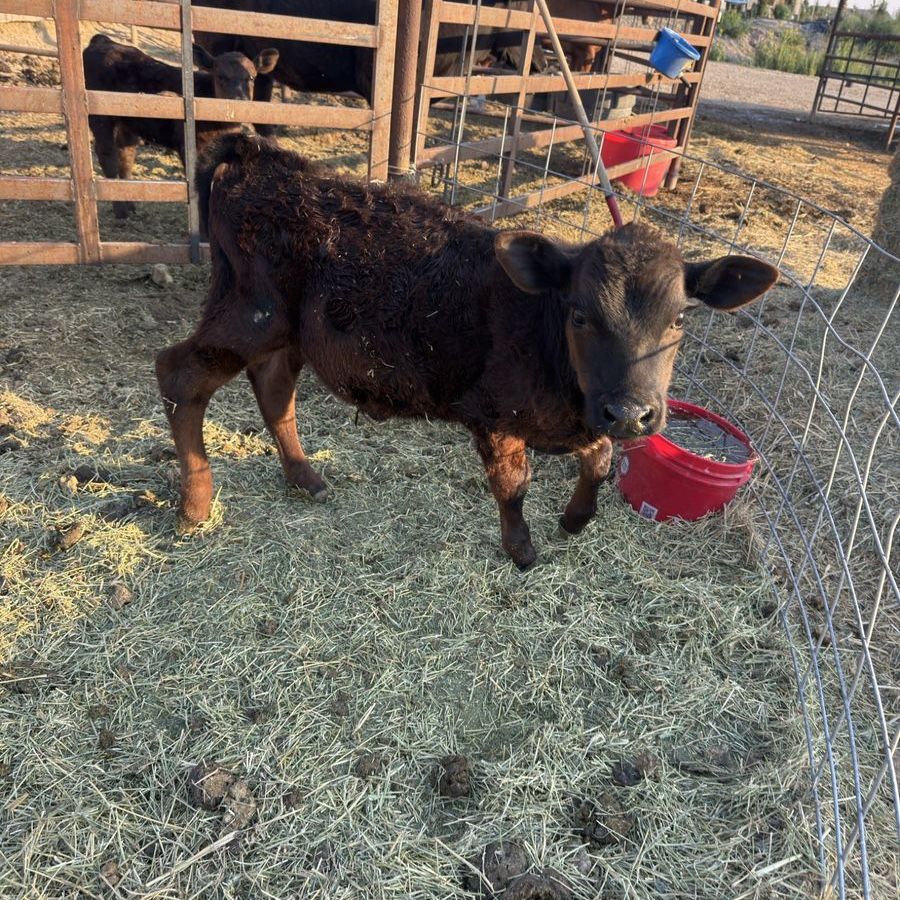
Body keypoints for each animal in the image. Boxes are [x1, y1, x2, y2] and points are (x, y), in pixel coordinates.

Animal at [82, 34, 278, 219]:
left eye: (251, 77)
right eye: (220, 76)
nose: (239, 100)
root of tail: (102, 41)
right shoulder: (189, 147)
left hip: (128, 122)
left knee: (126, 154)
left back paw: (130, 205)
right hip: (100, 118)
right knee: (108, 155)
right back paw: (121, 210)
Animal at [155, 134, 778, 568]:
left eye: (680, 319)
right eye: (579, 314)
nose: (630, 412)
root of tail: (259, 155)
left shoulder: (574, 419)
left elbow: (600, 459)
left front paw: (576, 519)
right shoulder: (494, 414)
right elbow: (513, 484)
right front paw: (521, 550)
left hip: (286, 332)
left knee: (273, 389)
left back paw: (304, 477)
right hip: (249, 313)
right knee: (179, 375)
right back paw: (196, 505)